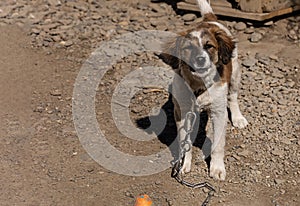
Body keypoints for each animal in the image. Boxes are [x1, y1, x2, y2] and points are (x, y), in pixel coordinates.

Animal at [165, 0, 247, 180]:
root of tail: (210, 20)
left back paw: (238, 117)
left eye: (209, 46)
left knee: (233, 97)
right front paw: (184, 164)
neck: (198, 85)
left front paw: (217, 168)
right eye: (188, 48)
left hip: (235, 73)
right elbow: (185, 141)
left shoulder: (219, 113)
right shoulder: (182, 112)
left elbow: (218, 144)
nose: (200, 59)